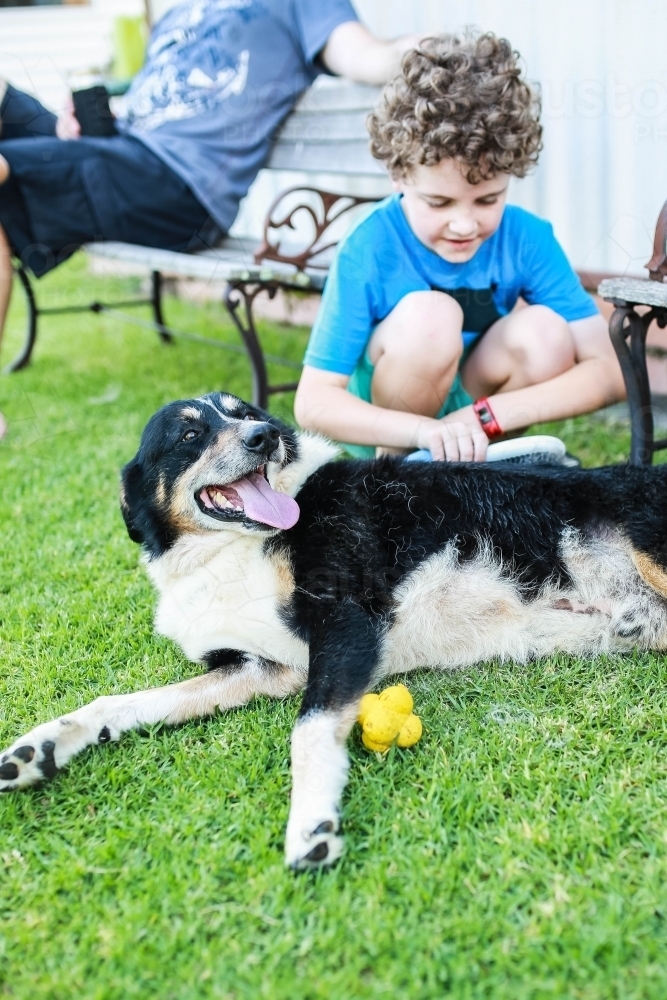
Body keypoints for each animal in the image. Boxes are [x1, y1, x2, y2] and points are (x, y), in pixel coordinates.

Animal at [1, 390, 667, 868]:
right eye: (190, 434)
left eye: (246, 415)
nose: (264, 437)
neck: (231, 551)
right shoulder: (261, 667)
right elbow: (125, 702)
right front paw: (42, 747)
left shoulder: (344, 622)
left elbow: (310, 729)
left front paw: (311, 822)